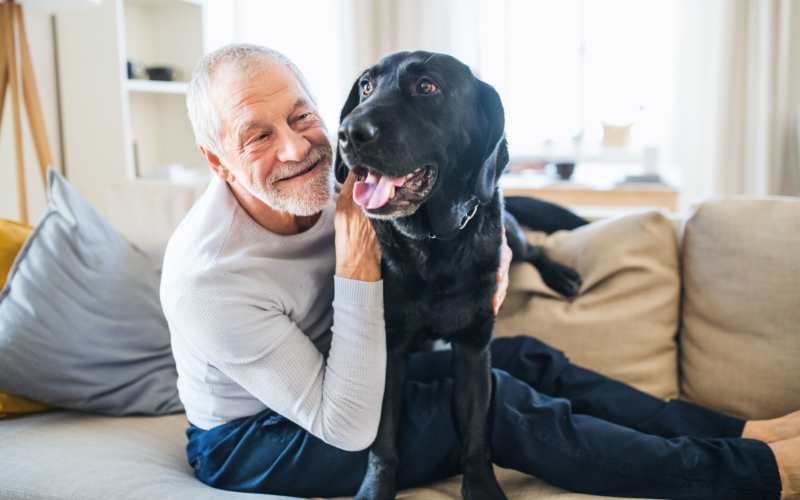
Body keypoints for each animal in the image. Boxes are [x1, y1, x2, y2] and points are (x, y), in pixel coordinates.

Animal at [332, 50, 588, 500]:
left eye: (427, 86)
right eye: (365, 86)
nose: (348, 132)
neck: (433, 244)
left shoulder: (473, 347)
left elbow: (475, 434)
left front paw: (482, 487)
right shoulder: (388, 349)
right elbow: (383, 439)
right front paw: (376, 489)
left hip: (511, 235)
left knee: (535, 248)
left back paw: (561, 275)